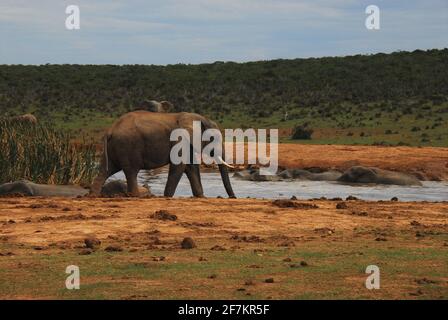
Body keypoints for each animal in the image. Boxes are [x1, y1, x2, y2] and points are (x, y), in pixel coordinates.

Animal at [87, 111, 234, 199]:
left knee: (106, 170)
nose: (234, 197)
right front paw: (167, 197)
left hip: (114, 148)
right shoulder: (181, 141)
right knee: (131, 171)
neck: (197, 118)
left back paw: (93, 196)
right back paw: (137, 196)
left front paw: (201, 197)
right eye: (214, 138)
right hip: (128, 146)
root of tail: (110, 130)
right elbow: (179, 167)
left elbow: (191, 168)